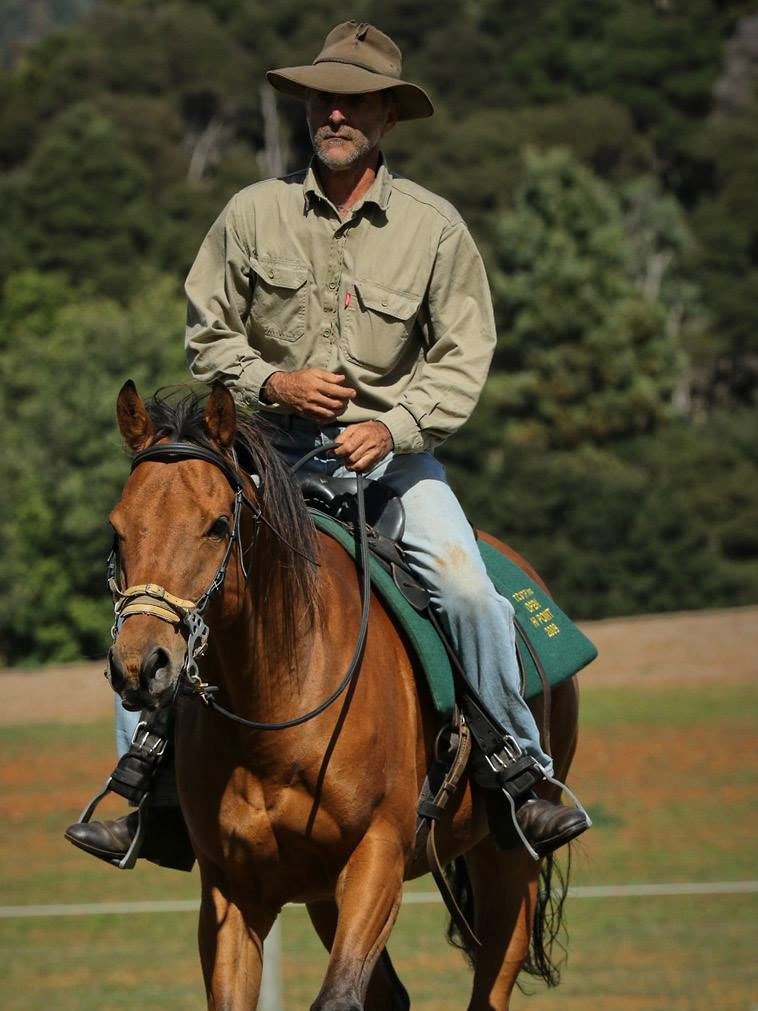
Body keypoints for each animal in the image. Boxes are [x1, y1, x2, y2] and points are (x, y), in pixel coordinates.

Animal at [107, 380, 582, 1011]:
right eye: (117, 529)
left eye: (217, 525)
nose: (142, 665)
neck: (277, 710)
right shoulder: (234, 891)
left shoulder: (376, 858)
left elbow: (338, 996)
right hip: (321, 895)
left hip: (505, 862)